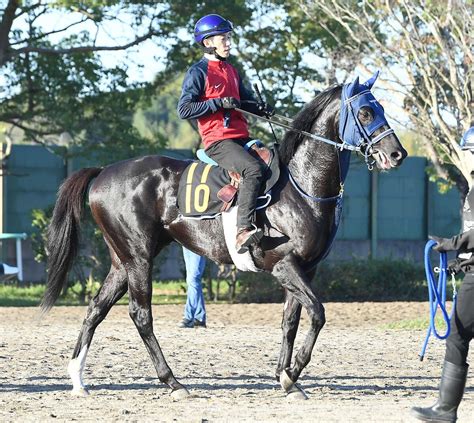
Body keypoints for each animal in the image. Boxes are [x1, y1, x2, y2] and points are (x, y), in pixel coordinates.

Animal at [41, 73, 408, 400]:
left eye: (381, 108)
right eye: (365, 111)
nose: (397, 154)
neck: (301, 185)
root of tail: (105, 171)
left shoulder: (306, 268)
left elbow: (290, 321)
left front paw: (286, 378)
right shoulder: (283, 265)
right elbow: (317, 313)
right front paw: (291, 374)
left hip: (122, 263)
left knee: (96, 308)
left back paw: (78, 379)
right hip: (139, 259)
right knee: (140, 315)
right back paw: (173, 382)